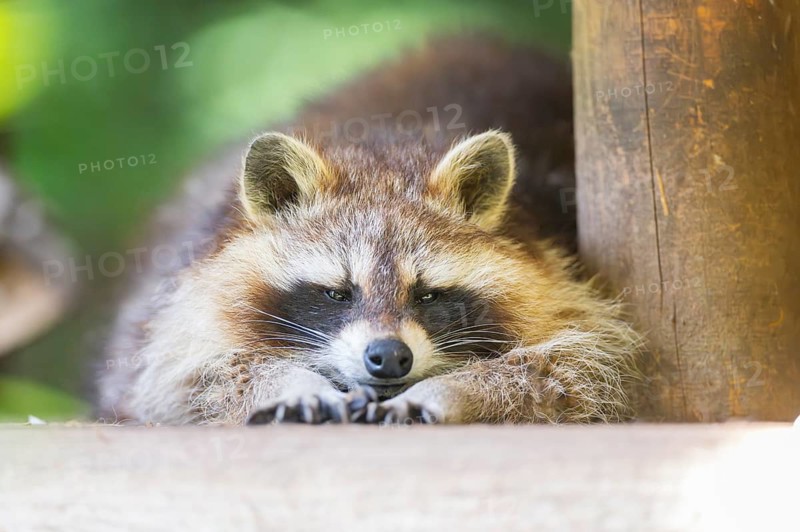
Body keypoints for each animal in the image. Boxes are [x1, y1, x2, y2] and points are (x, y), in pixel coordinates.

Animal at [96, 36, 640, 425]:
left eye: (429, 294)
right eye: (337, 292)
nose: (389, 356)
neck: (386, 150)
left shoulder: (562, 272)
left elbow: (582, 373)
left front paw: (458, 390)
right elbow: (183, 376)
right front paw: (286, 381)